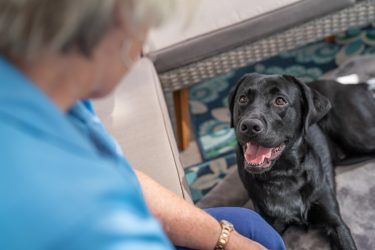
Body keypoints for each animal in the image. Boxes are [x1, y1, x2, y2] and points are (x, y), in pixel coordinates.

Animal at [228, 73, 375, 250]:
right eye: (242, 99)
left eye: (280, 101)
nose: (249, 125)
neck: (284, 174)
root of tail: (355, 86)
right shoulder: (269, 227)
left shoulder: (336, 222)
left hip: (356, 134)